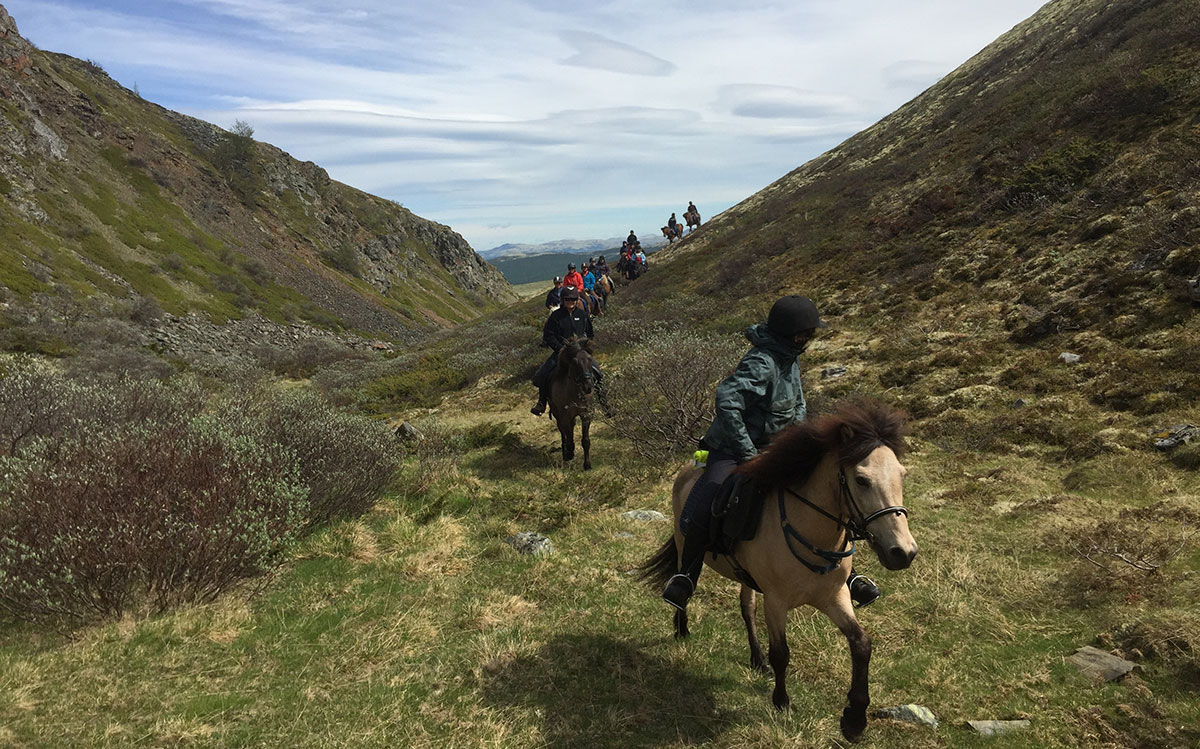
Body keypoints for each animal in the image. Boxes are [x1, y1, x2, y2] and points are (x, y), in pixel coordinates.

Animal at [549, 338, 595, 468]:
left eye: (590, 359)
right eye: (574, 362)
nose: (588, 387)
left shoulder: (585, 415)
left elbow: (586, 441)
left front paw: (587, 464)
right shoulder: (565, 416)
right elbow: (569, 438)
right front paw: (569, 454)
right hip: (557, 413)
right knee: (562, 431)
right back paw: (565, 452)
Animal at [643, 400, 912, 739]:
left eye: (902, 475)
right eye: (862, 480)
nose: (903, 552)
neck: (808, 528)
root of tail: (688, 470)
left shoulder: (834, 596)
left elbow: (861, 644)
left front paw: (854, 719)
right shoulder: (776, 601)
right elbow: (781, 652)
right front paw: (782, 702)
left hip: (746, 576)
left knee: (746, 607)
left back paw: (756, 658)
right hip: (684, 546)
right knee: (684, 581)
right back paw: (681, 627)